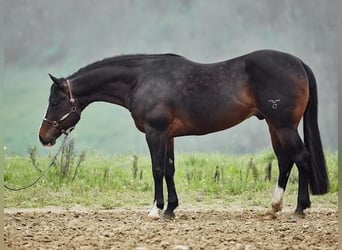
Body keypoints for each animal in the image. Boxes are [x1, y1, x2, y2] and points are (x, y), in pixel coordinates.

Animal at [39, 49, 328, 220]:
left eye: (55, 102)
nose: (43, 137)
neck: (141, 80)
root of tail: (298, 63)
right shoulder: (168, 136)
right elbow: (169, 169)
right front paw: (170, 209)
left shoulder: (154, 133)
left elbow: (157, 169)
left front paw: (155, 210)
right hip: (274, 126)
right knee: (285, 161)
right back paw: (274, 207)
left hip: (283, 126)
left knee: (301, 159)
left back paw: (299, 209)